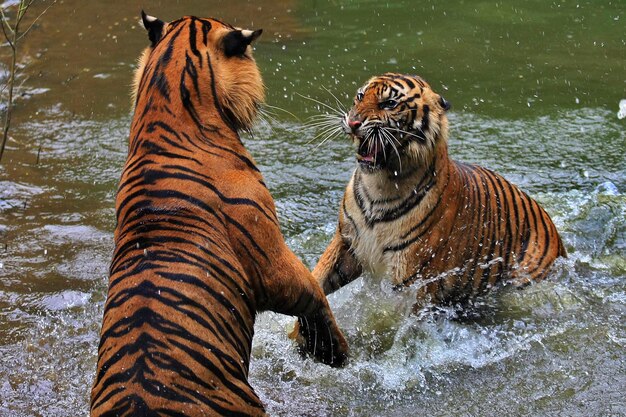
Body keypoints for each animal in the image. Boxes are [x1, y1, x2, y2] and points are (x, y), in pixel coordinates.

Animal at [304, 72, 564, 308]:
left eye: (389, 104)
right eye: (359, 96)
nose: (353, 123)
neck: (378, 184)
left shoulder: (412, 282)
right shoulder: (346, 242)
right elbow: (317, 280)